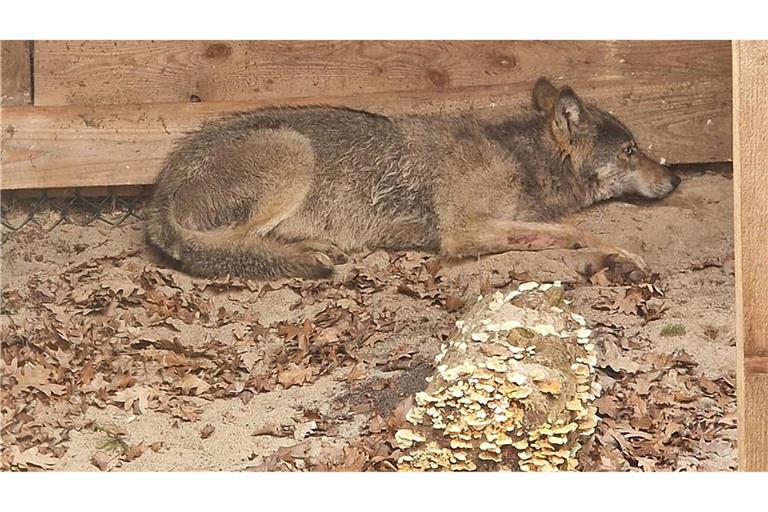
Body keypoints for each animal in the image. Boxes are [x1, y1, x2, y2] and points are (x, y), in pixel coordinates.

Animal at [145, 77, 681, 279]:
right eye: (631, 151)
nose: (676, 179)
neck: (517, 158)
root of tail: (158, 192)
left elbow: (561, 230)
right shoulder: (462, 232)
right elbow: (576, 230)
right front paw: (622, 255)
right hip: (294, 152)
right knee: (223, 248)